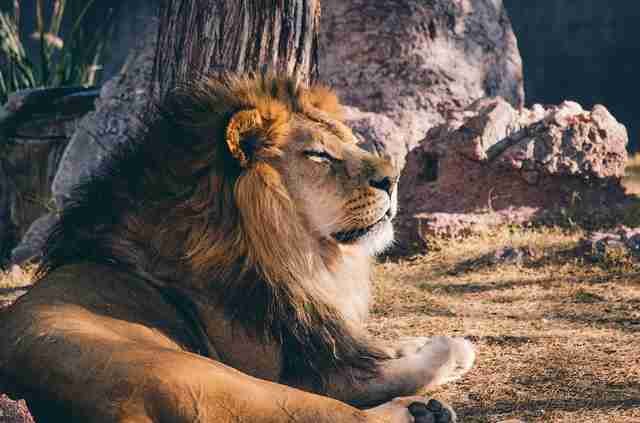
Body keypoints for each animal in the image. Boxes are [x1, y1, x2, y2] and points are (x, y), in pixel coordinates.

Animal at [0, 75, 474, 423]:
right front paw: (449, 348)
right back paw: (423, 412)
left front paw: (413, 340)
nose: (393, 179)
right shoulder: (294, 369)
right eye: (319, 155)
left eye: (350, 142)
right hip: (220, 379)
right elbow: (391, 371)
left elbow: (372, 347)